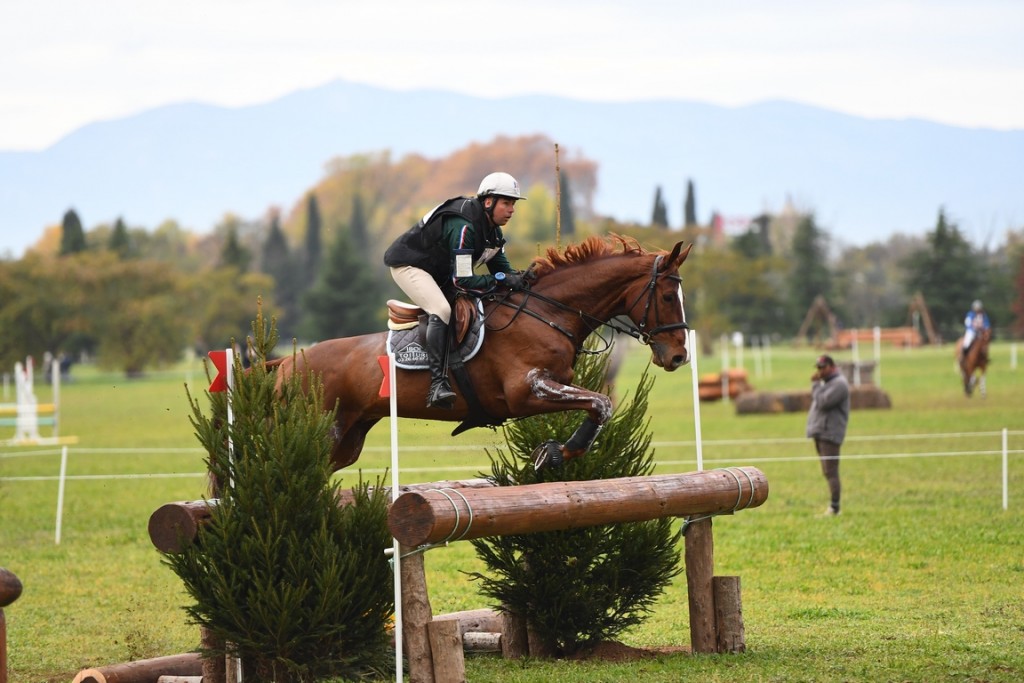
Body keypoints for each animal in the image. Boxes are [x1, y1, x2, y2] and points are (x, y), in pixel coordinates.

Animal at [270, 235, 696, 471]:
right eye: (666, 295)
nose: (678, 356)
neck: (547, 312)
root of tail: (286, 362)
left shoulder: (556, 383)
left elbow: (597, 404)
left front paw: (555, 452)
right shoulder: (527, 390)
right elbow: (600, 404)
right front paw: (555, 453)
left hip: (348, 437)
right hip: (319, 430)